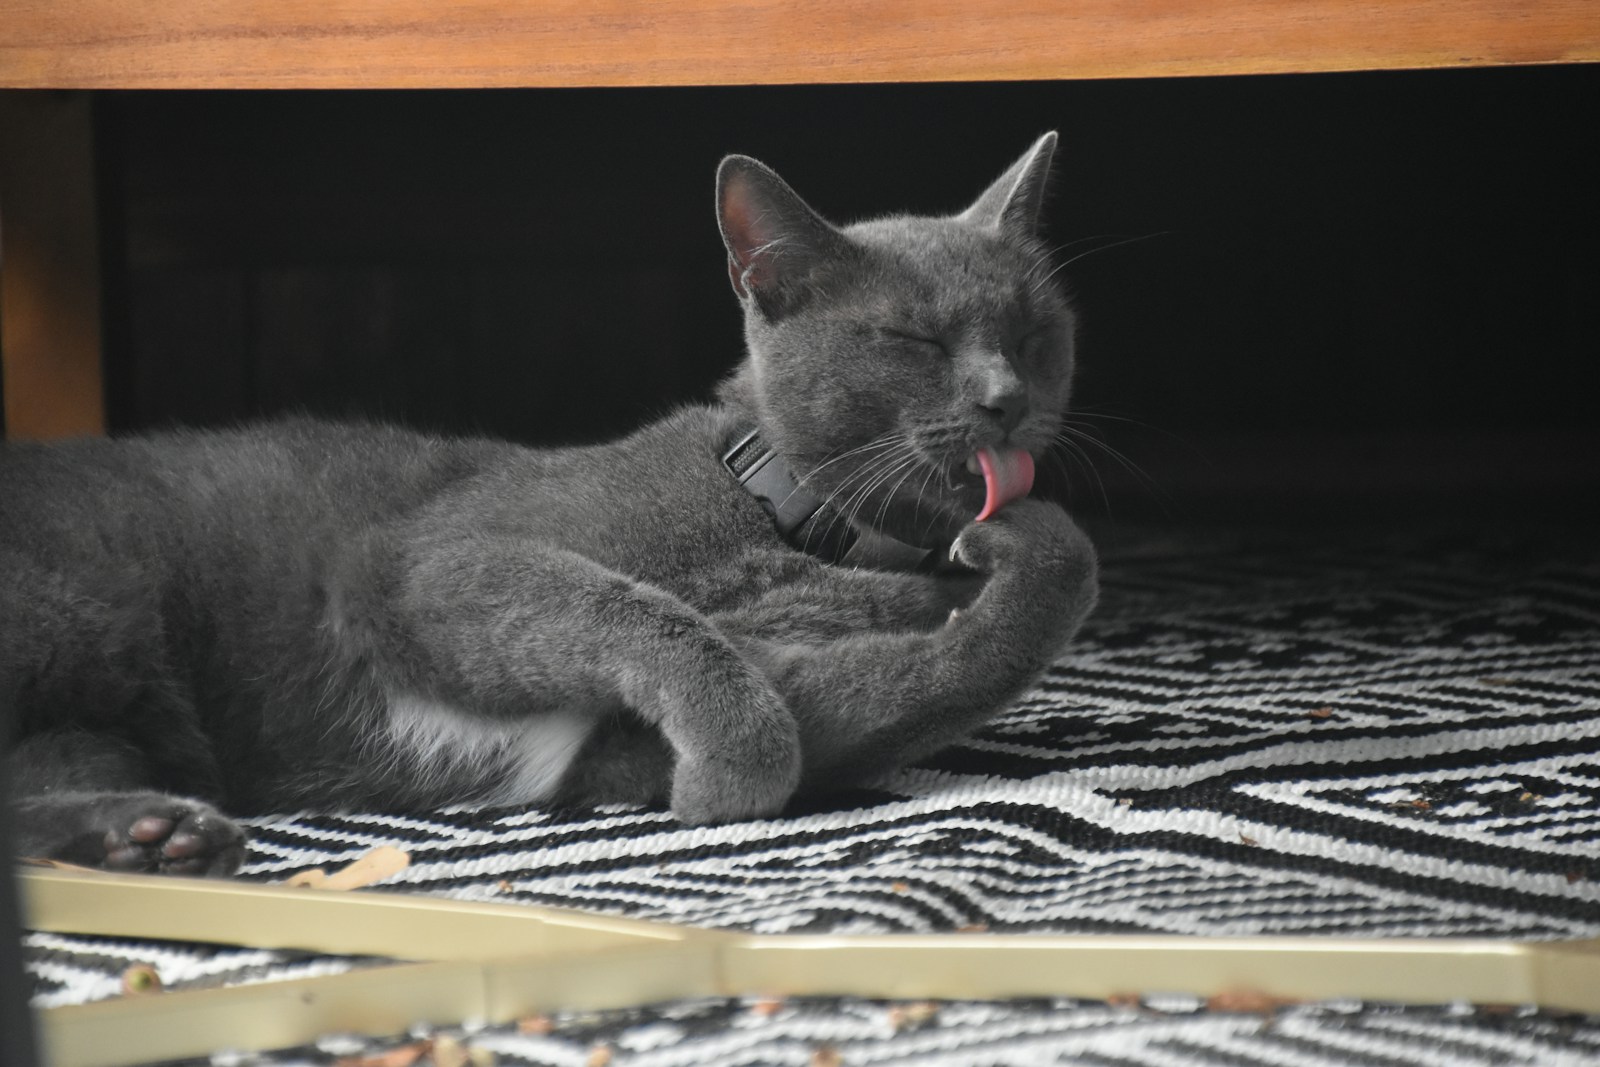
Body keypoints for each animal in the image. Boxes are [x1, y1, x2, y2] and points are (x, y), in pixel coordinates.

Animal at [0, 135, 1100, 876]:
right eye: (912, 340)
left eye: (1034, 331)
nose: (1005, 399)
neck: (801, 532)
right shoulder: (424, 564)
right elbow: (645, 619)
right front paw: (728, 774)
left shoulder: (645, 733)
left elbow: (938, 666)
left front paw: (1018, 547)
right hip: (81, 611)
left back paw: (151, 836)